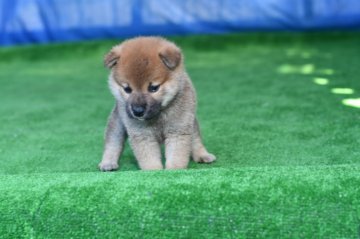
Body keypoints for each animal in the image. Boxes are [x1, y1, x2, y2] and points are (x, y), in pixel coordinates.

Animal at [98, 36, 215, 171]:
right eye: (127, 89)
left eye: (153, 88)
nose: (137, 111)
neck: (159, 114)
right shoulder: (142, 134)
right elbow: (149, 159)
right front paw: (154, 171)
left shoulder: (178, 130)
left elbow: (177, 155)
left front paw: (174, 170)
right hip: (117, 123)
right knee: (112, 142)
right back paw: (108, 162)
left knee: (196, 139)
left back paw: (202, 155)